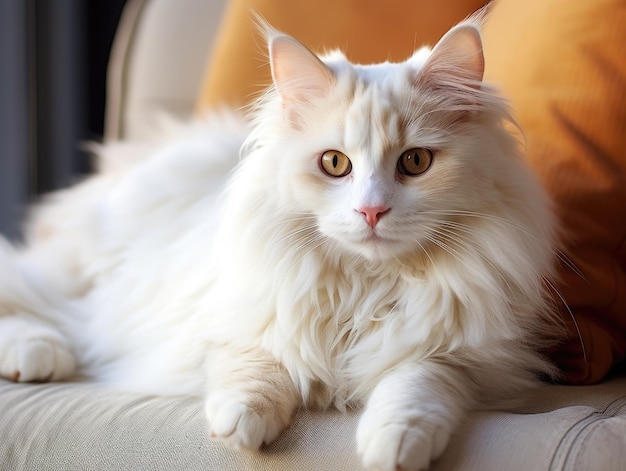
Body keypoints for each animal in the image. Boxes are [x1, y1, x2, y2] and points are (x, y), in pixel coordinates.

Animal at [0, 18, 560, 471]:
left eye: (416, 162)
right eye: (335, 163)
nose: (371, 211)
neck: (365, 287)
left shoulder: (465, 359)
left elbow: (417, 386)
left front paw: (396, 445)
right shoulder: (231, 320)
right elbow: (257, 363)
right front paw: (240, 421)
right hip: (85, 276)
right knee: (30, 293)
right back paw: (36, 354)